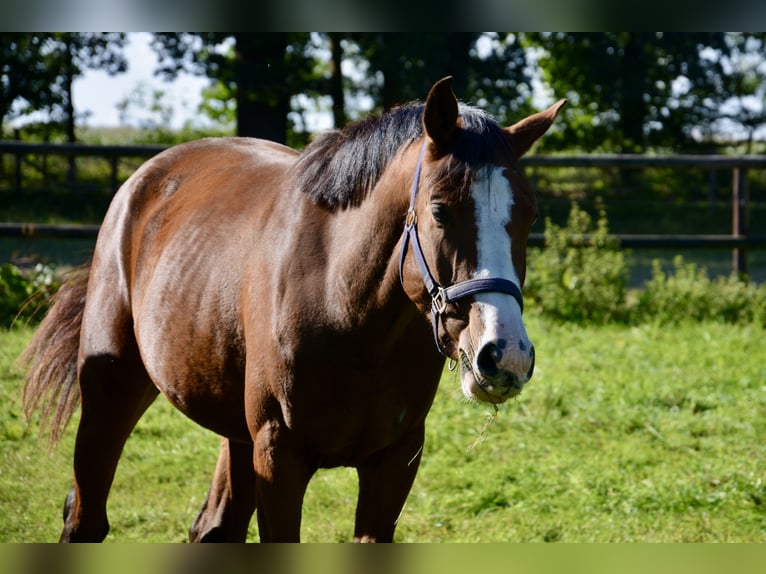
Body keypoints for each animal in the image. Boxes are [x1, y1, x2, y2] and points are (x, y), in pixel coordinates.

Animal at [21, 77, 568, 544]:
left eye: (529, 216)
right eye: (439, 210)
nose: (505, 355)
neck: (347, 313)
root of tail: (140, 182)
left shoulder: (394, 464)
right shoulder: (278, 458)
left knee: (214, 528)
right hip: (110, 392)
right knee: (85, 518)